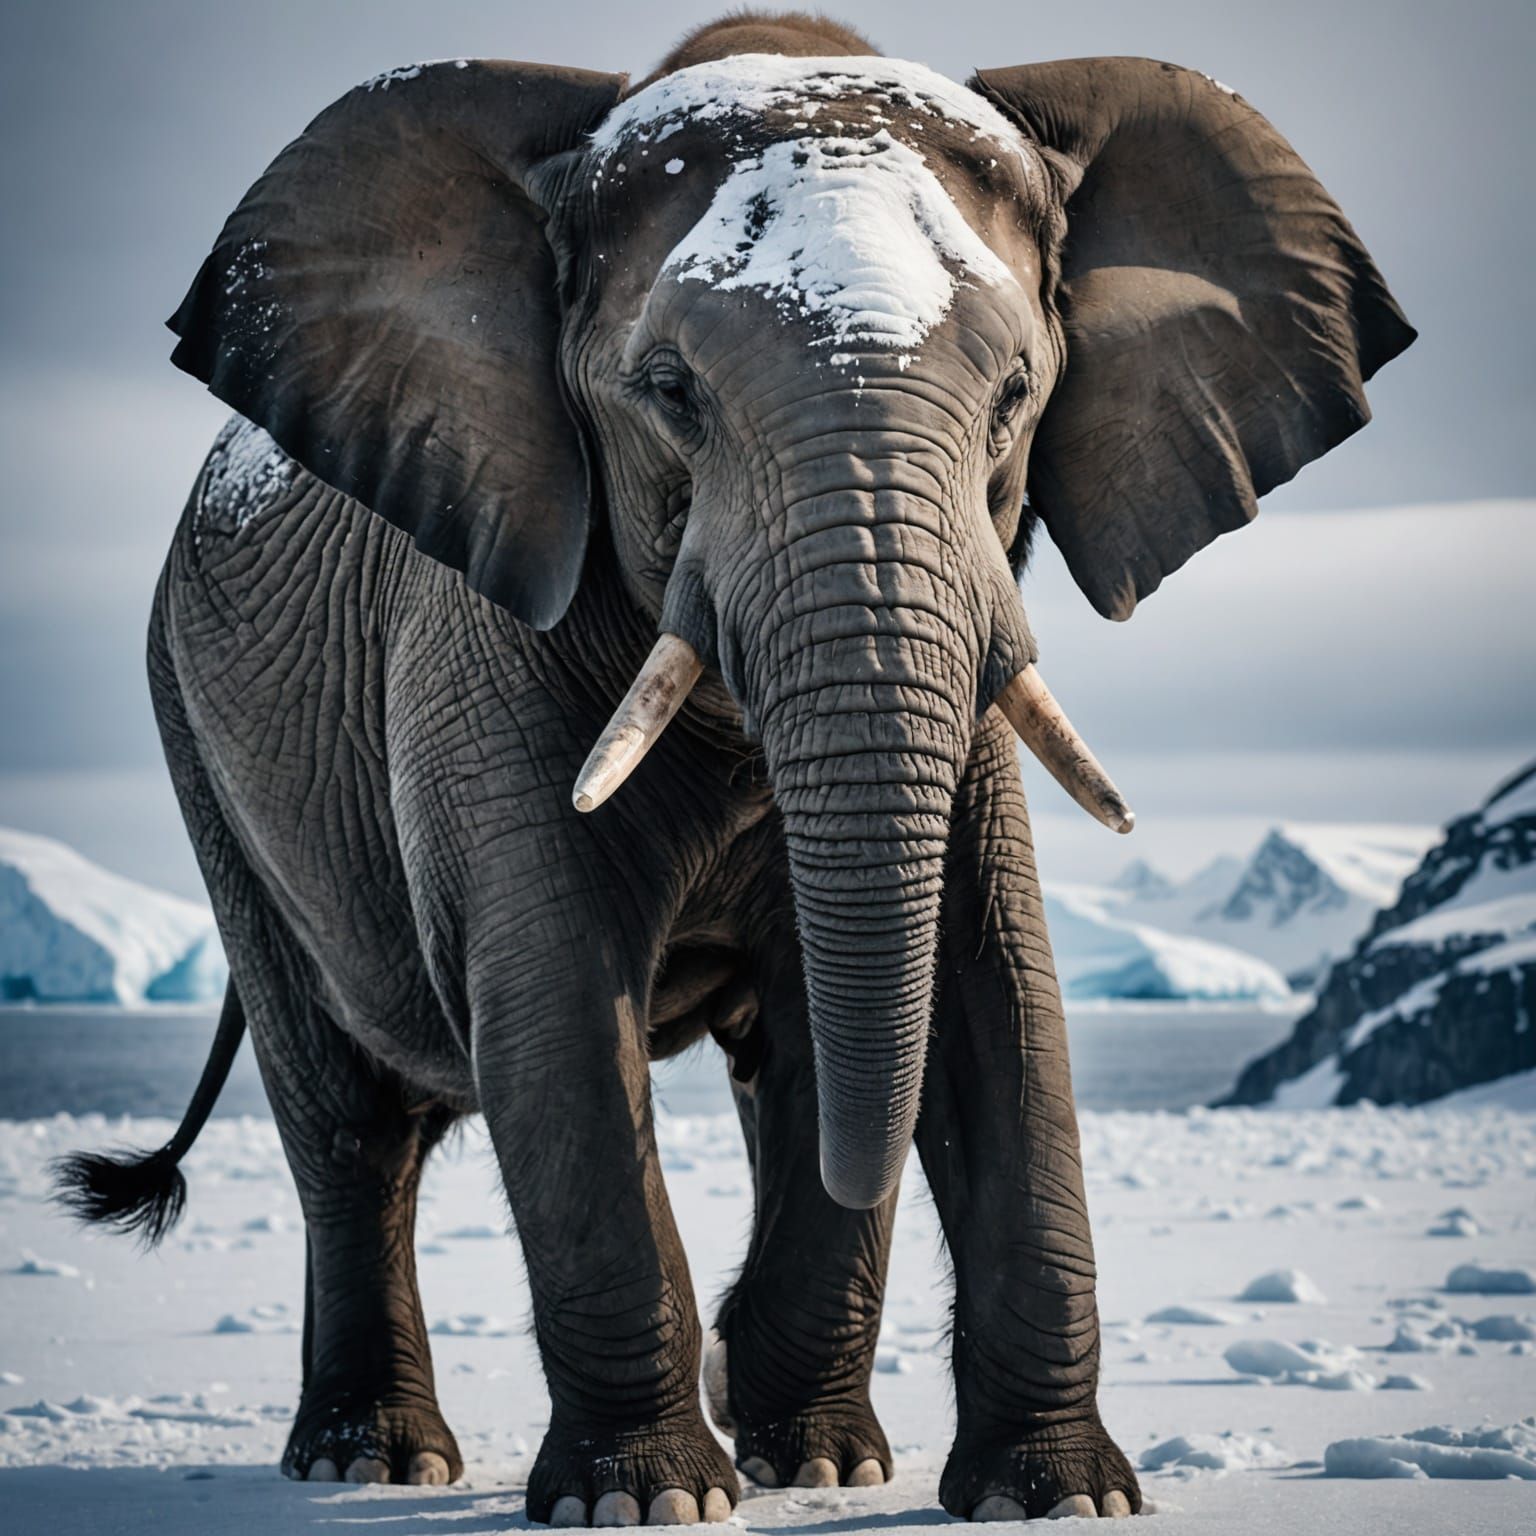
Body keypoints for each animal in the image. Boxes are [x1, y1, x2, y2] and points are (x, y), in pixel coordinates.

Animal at [56, 9, 1413, 1525]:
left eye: (1015, 396)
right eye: (670, 396)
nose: (725, 1356)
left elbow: (994, 990)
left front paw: (1030, 1494)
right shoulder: (479, 635)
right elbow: (555, 1002)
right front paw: (649, 1499)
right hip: (196, 736)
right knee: (351, 1124)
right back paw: (372, 1460)